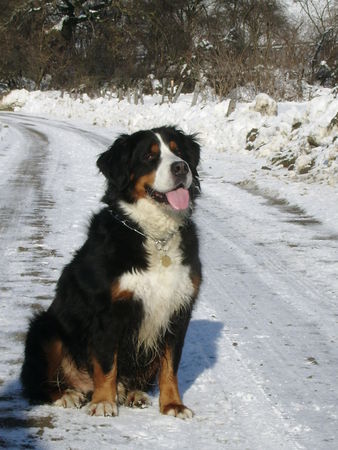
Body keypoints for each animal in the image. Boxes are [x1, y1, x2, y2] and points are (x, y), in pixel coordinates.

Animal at [21, 125, 201, 418]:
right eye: (149, 156)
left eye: (179, 151)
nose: (181, 167)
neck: (154, 236)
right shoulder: (108, 311)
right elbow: (106, 363)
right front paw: (104, 402)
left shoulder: (178, 308)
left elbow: (170, 366)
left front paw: (173, 404)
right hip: (46, 328)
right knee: (37, 383)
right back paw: (67, 395)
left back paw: (133, 393)